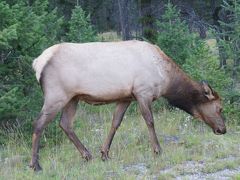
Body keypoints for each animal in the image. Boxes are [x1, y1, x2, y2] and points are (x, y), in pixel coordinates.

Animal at [29, 40, 226, 171]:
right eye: (219, 108)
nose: (223, 129)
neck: (166, 79)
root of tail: (37, 63)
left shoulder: (126, 98)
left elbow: (115, 123)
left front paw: (104, 153)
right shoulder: (143, 92)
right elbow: (150, 121)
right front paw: (157, 150)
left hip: (72, 98)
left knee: (65, 124)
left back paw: (87, 155)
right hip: (56, 95)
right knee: (38, 124)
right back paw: (35, 164)